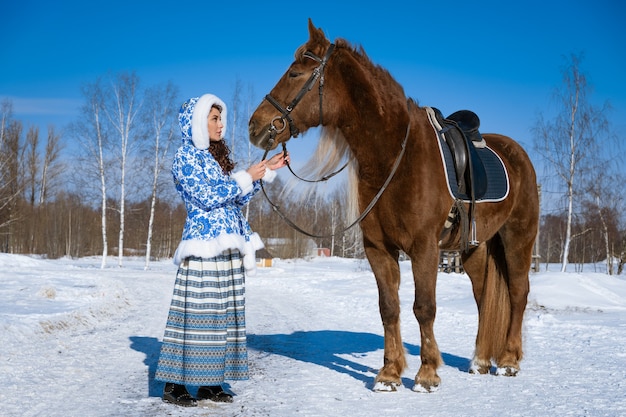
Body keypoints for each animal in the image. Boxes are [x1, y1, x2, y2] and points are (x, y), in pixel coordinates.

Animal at [247, 17, 536, 392]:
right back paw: (480, 361)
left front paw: (427, 374)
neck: (395, 155)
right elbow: (389, 307)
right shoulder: (379, 248)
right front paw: (389, 374)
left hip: (518, 239)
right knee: (484, 296)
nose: (255, 126)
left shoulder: (424, 247)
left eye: (295, 73)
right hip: (475, 248)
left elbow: (424, 307)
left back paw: (510, 361)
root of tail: (519, 155)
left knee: (517, 294)